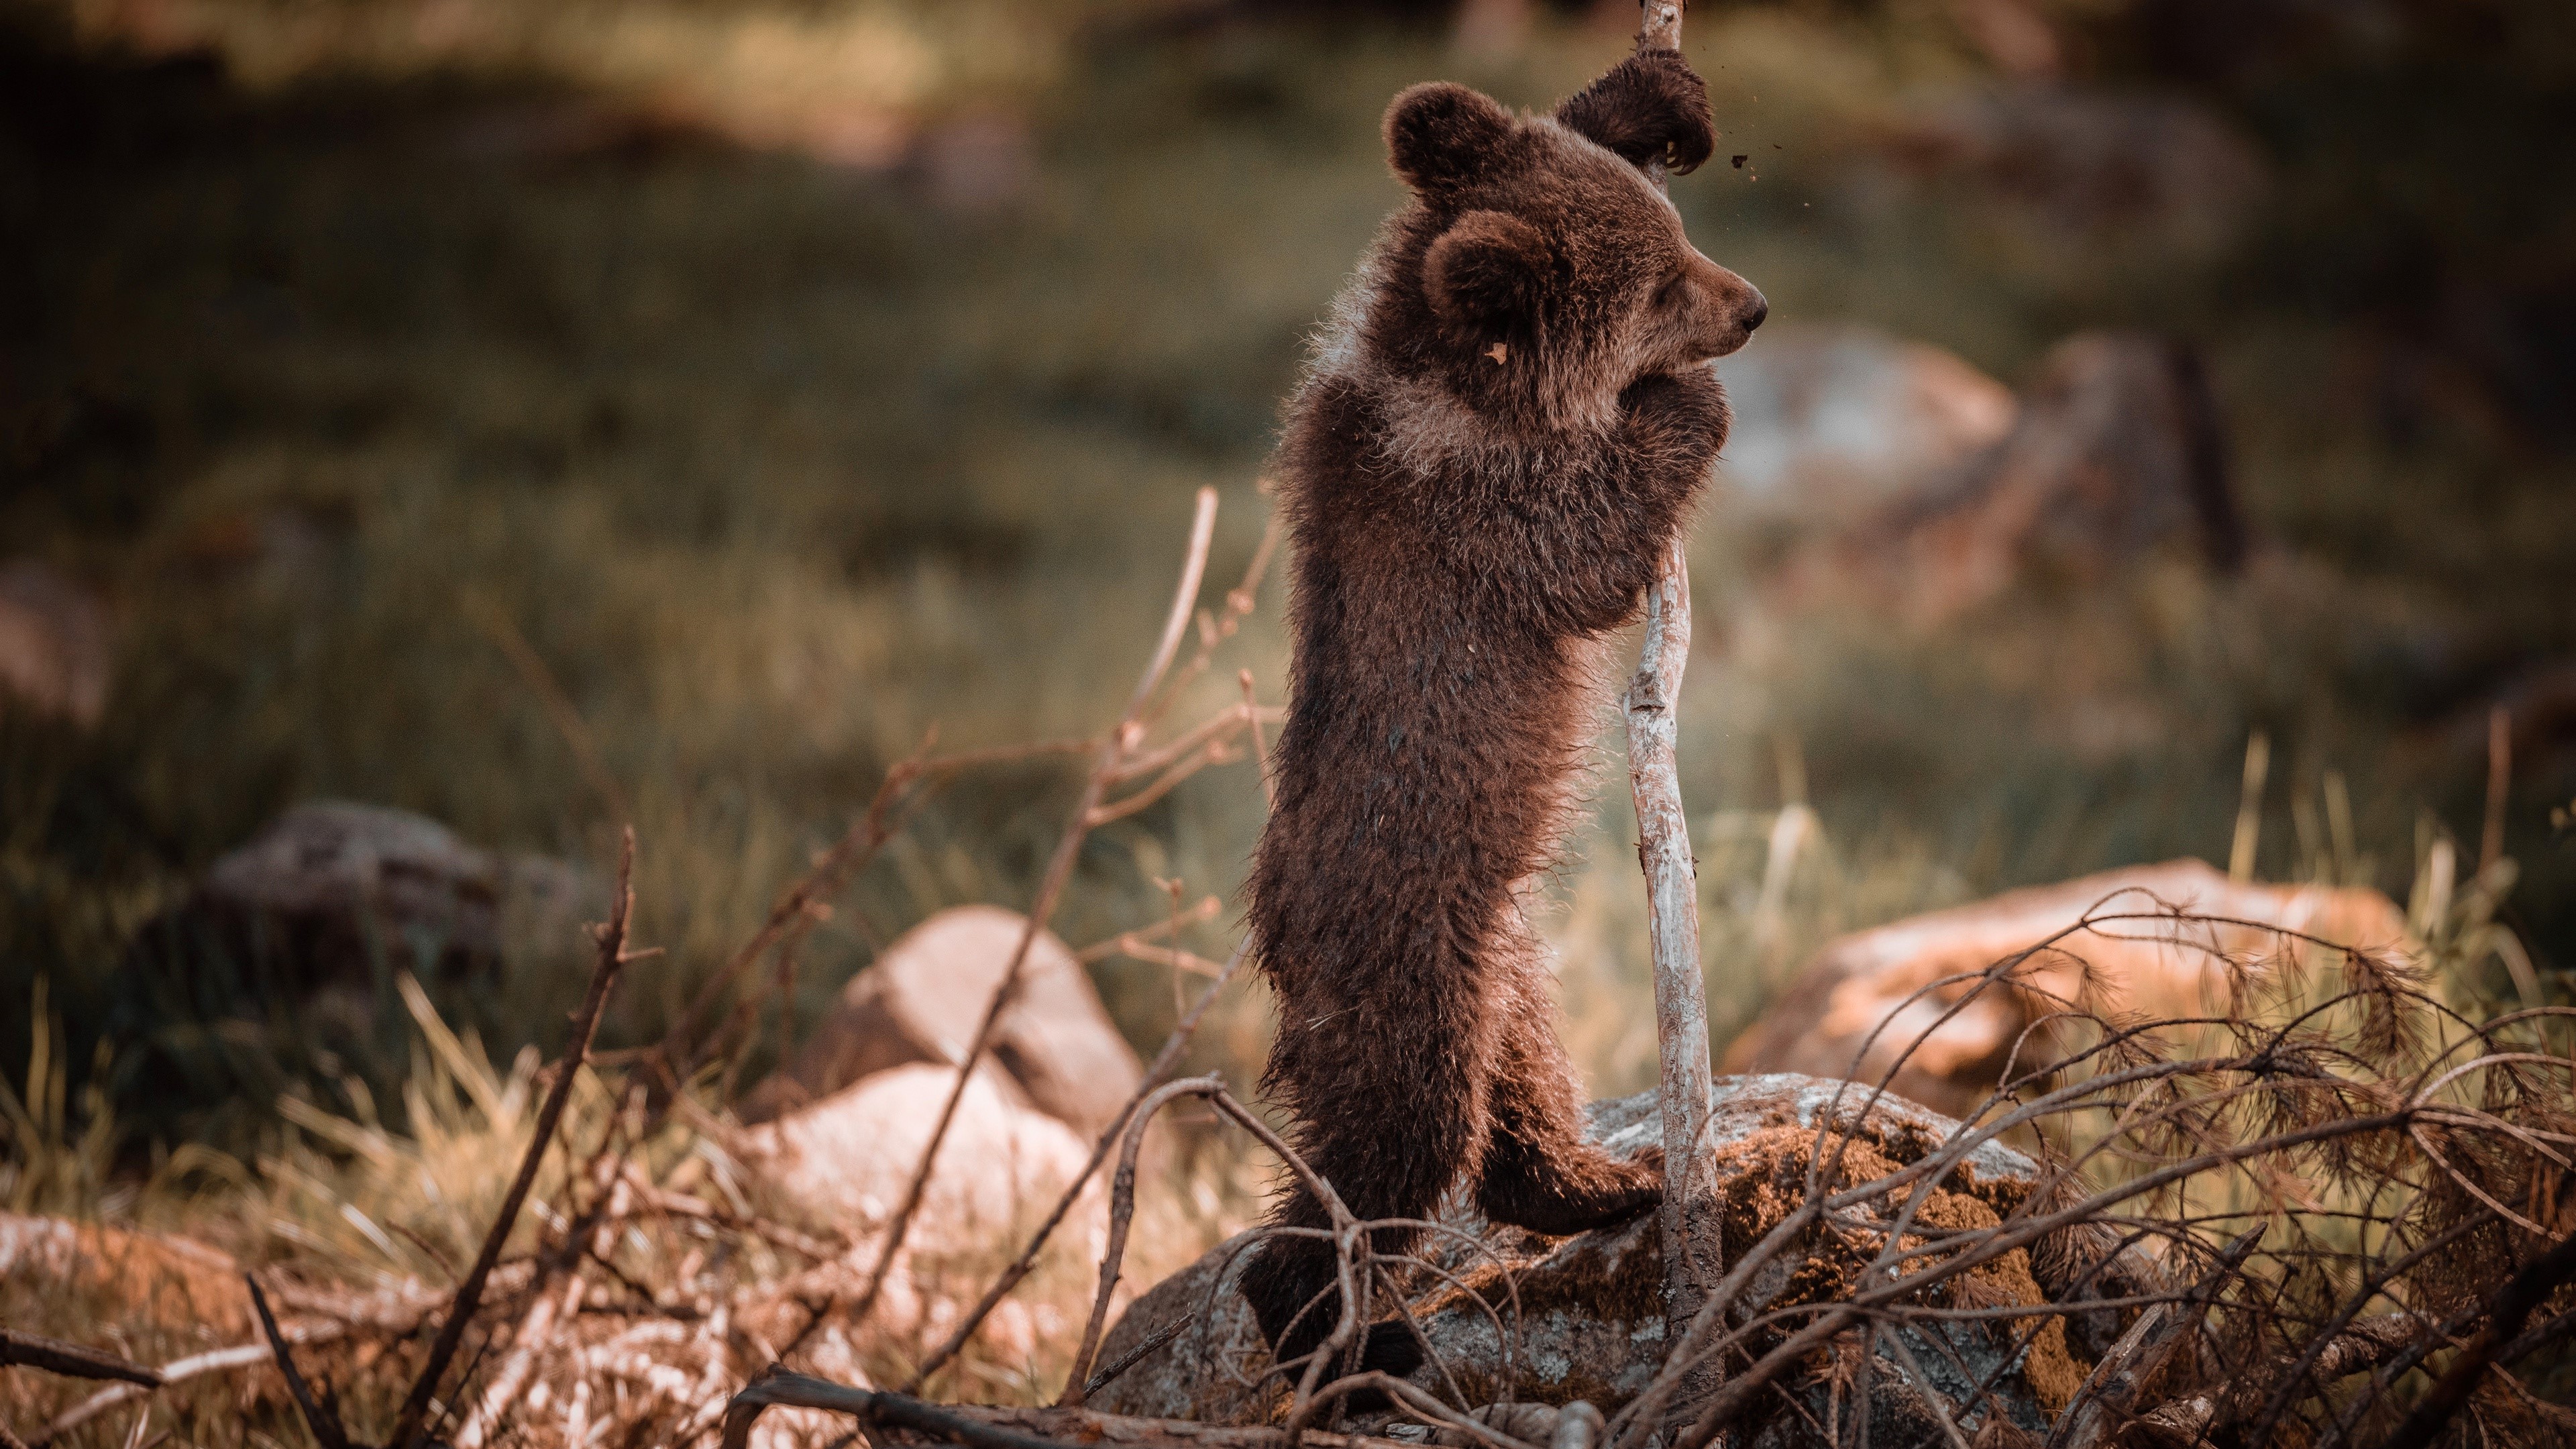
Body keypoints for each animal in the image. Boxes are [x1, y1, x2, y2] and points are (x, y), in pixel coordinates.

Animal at [1239, 47, 1767, 1387]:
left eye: (1677, 236)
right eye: (1658, 292)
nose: (1752, 305)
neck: (1460, 381)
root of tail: (1277, 943)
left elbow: (1495, 126)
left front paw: (1653, 95)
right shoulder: (1473, 507)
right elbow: (1588, 545)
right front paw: (1686, 407)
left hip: (1509, 963)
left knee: (1519, 1089)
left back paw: (1603, 1181)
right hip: (1405, 959)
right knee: (1398, 1142)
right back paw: (1350, 1342)